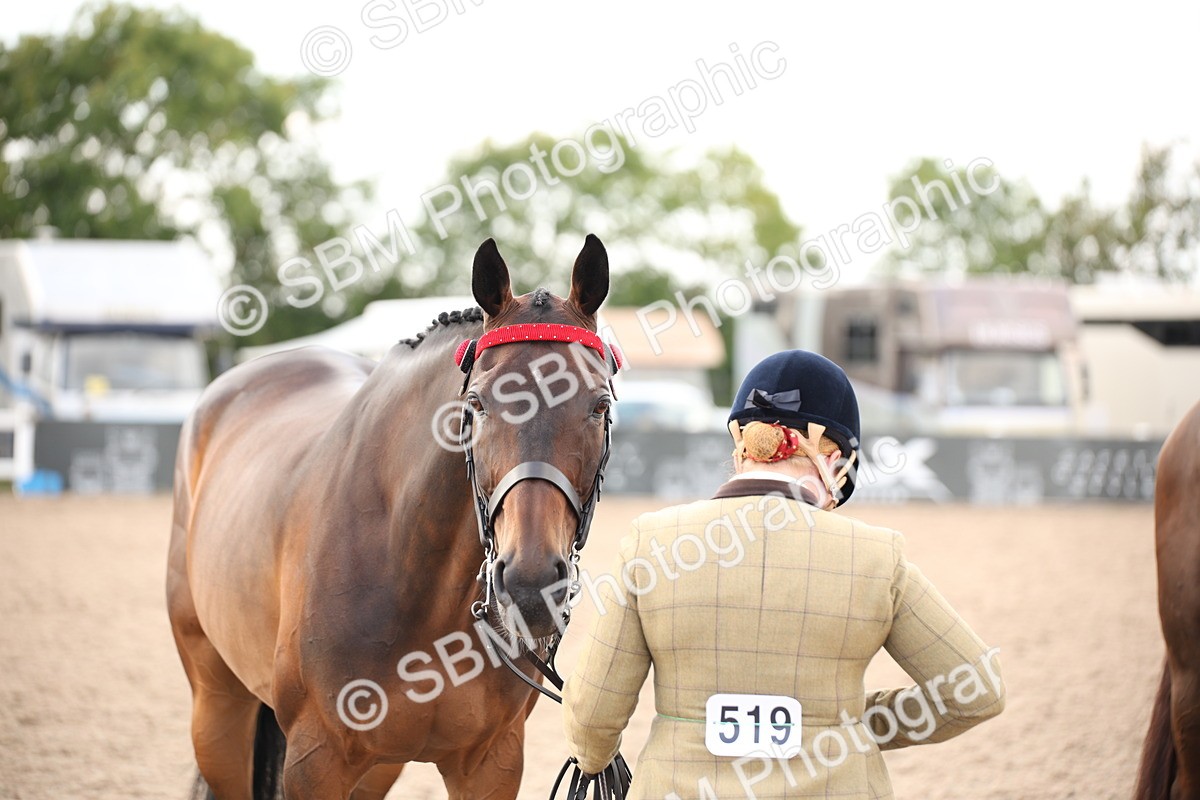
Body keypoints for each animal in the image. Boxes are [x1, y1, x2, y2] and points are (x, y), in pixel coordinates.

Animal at [167, 235, 622, 799]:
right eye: (477, 404)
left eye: (600, 407)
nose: (531, 584)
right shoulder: (315, 759)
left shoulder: (492, 762)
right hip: (217, 709)